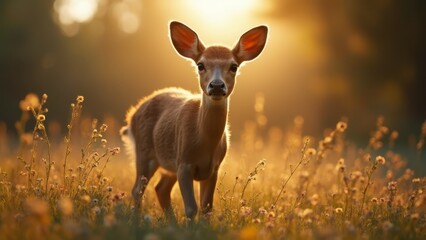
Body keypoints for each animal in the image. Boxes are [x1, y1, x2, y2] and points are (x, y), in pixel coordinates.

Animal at [120, 21, 266, 220]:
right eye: (200, 65)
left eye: (234, 66)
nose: (217, 85)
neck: (204, 142)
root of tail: (132, 115)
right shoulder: (184, 163)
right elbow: (191, 208)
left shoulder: (213, 168)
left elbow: (207, 208)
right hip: (144, 152)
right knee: (137, 189)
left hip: (168, 164)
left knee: (160, 188)